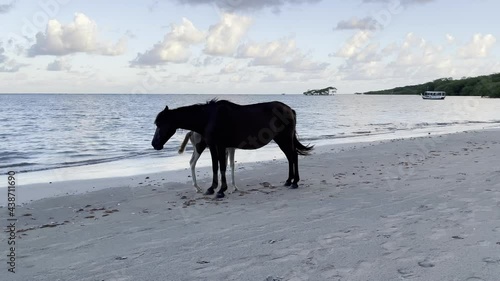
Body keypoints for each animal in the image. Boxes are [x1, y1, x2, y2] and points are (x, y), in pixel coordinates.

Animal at [151, 99, 312, 198]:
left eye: (160, 123)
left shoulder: (221, 146)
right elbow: (215, 166)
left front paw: (221, 190)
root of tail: (289, 109)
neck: (208, 117)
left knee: (293, 156)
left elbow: (222, 166)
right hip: (280, 139)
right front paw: (212, 188)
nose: (154, 144)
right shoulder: (213, 146)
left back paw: (295, 182)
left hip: (285, 139)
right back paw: (288, 181)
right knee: (290, 157)